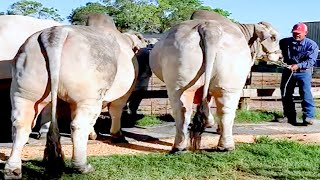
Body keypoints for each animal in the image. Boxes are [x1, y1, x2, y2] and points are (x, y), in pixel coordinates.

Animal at [149, 10, 282, 153]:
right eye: (274, 37)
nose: (280, 56)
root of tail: (209, 28)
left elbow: (206, 101)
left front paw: (210, 123)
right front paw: (212, 124)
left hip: (184, 83)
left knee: (185, 110)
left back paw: (185, 146)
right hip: (226, 83)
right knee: (223, 110)